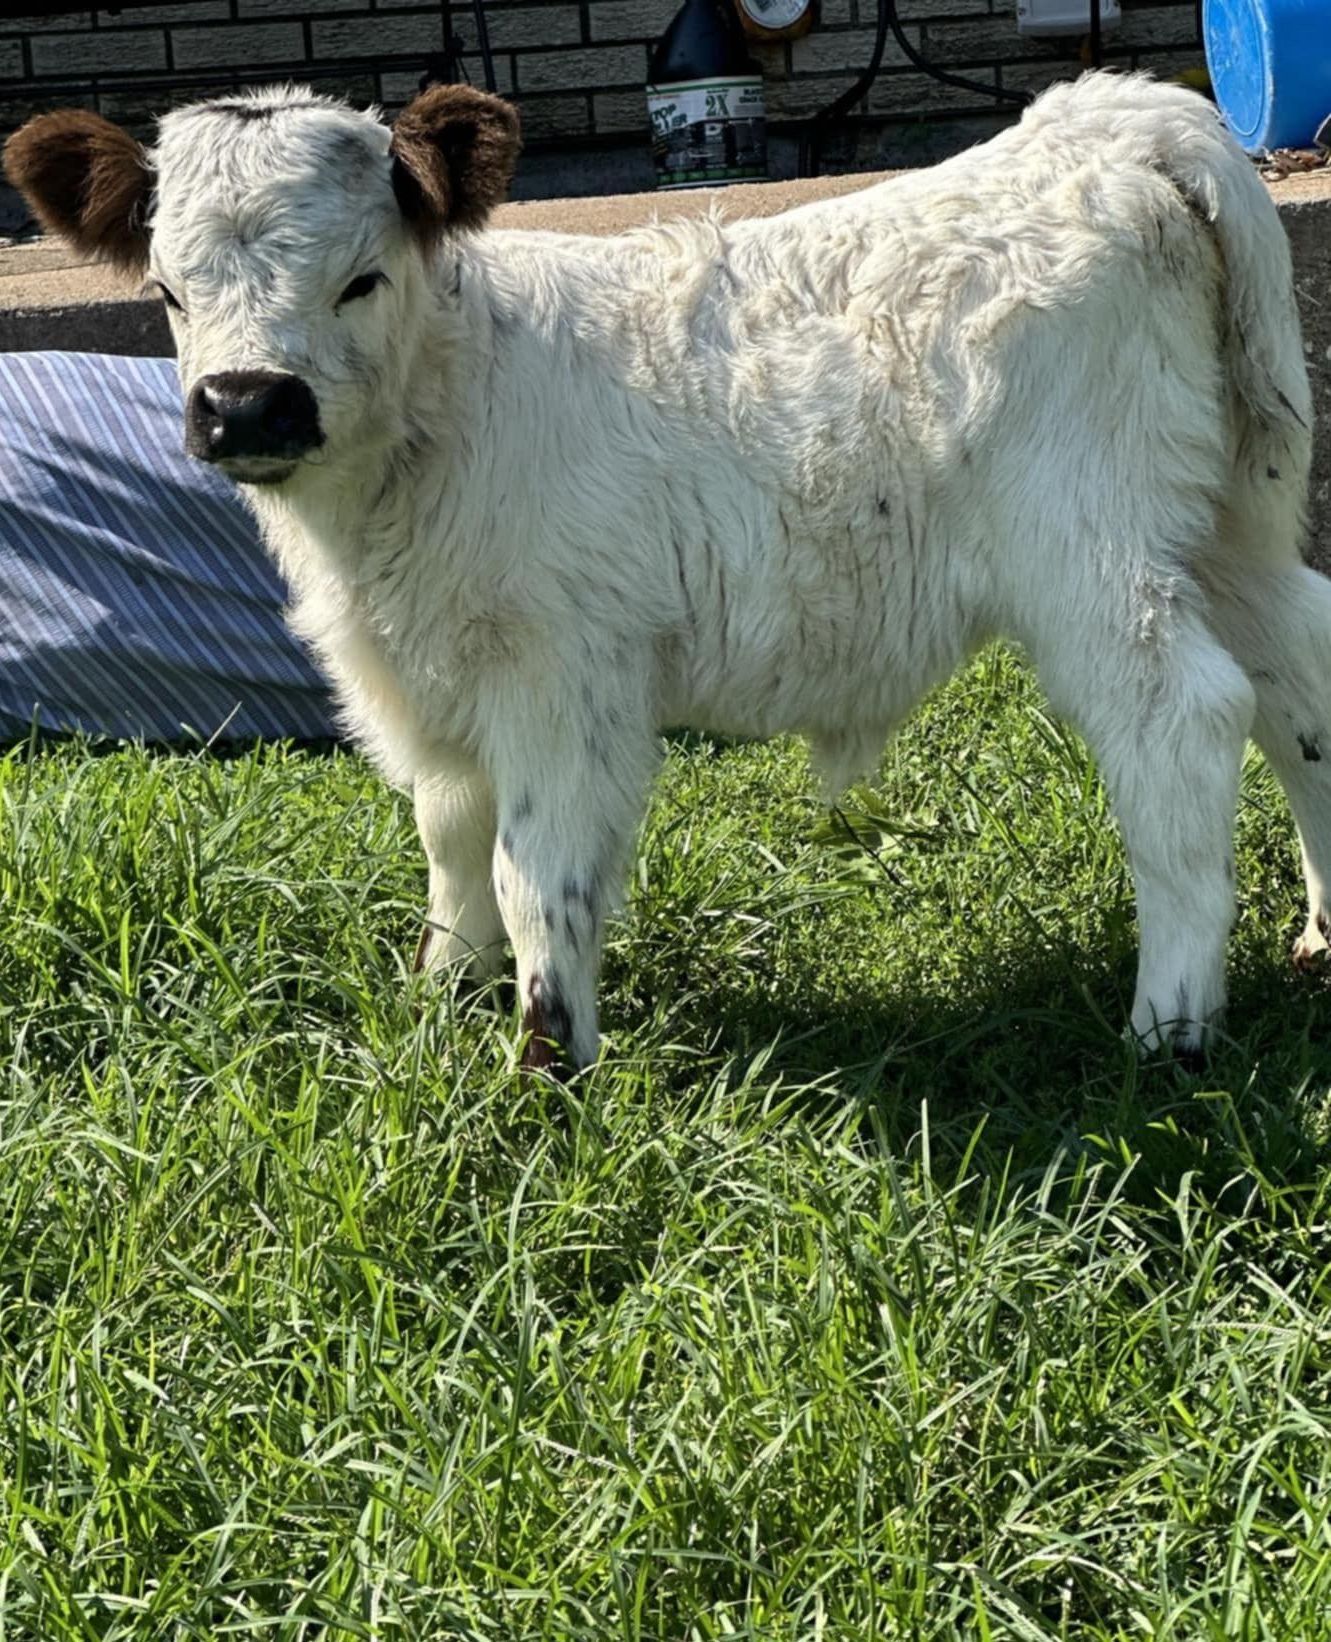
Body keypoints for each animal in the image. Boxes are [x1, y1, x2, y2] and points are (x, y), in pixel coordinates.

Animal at [5, 72, 1320, 1074]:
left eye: (359, 278)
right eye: (167, 290)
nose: (245, 404)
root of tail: (1106, 121)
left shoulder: (562, 674)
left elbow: (536, 870)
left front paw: (544, 1068)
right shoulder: (431, 678)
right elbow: (446, 833)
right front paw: (441, 996)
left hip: (1086, 550)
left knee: (1181, 720)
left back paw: (1166, 1029)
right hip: (1221, 528)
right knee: (1296, 684)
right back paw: (1315, 938)